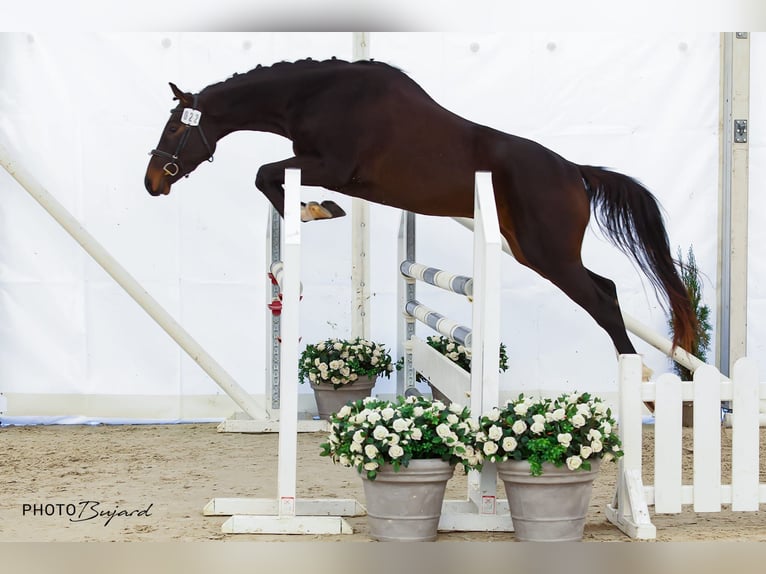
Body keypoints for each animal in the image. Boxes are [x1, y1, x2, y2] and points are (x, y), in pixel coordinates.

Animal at [146, 58, 704, 362]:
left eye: (174, 127)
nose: (152, 182)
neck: (318, 95)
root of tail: (575, 171)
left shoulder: (331, 165)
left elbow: (265, 174)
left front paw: (312, 211)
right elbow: (270, 178)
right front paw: (316, 209)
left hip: (550, 255)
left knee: (603, 302)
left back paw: (639, 384)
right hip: (533, 252)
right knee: (606, 289)